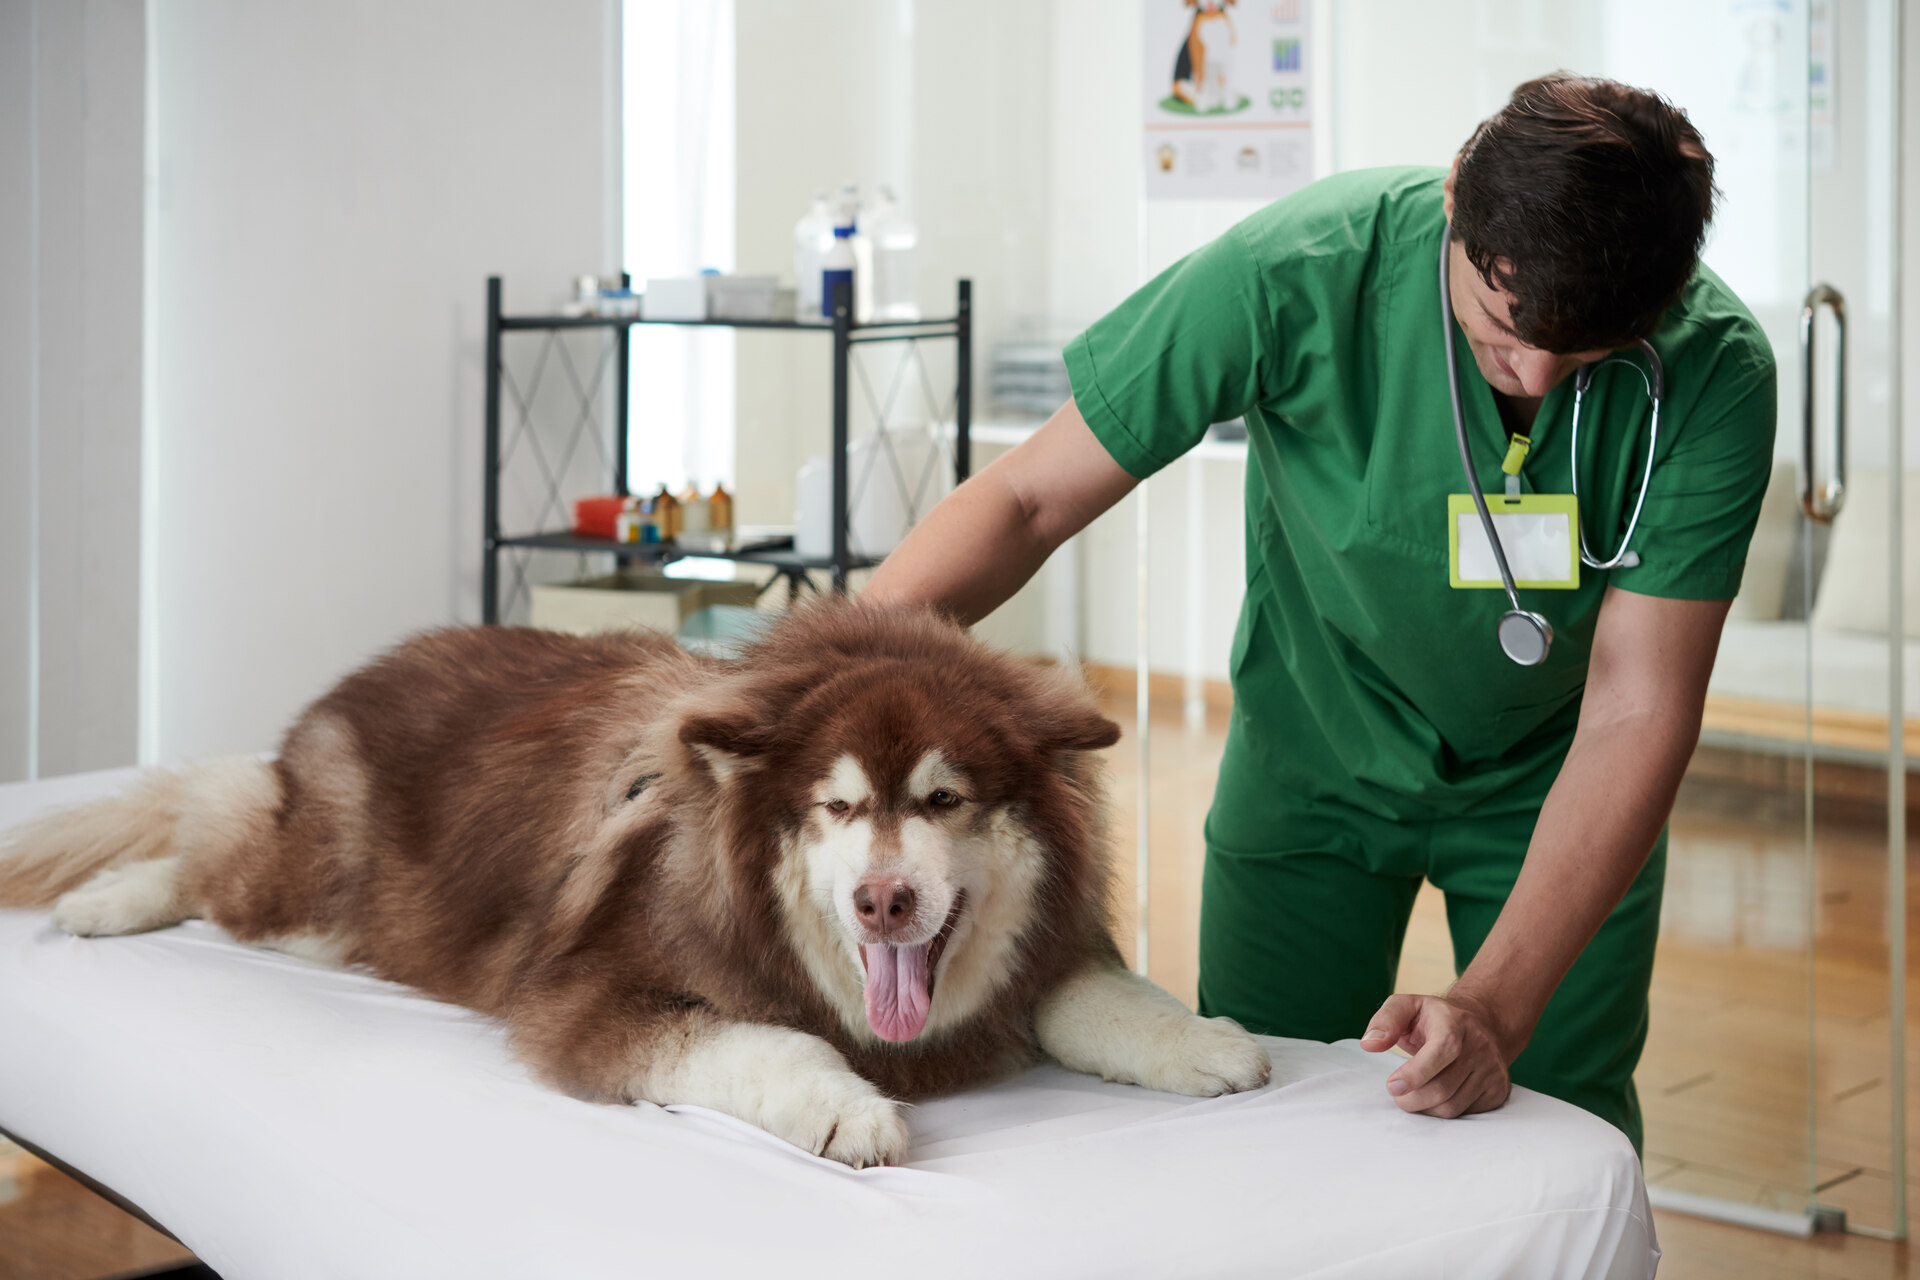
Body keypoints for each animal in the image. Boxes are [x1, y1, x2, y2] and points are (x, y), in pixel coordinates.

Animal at [0, 606, 1267, 1166]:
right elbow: (765, 1041)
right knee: (208, 829)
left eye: (945, 799)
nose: (884, 903)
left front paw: (1206, 1040)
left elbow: (1103, 996)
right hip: (324, 895)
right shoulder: (592, 1001)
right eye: (838, 807)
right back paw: (104, 899)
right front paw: (849, 1105)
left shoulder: (1027, 965)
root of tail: (366, 668)